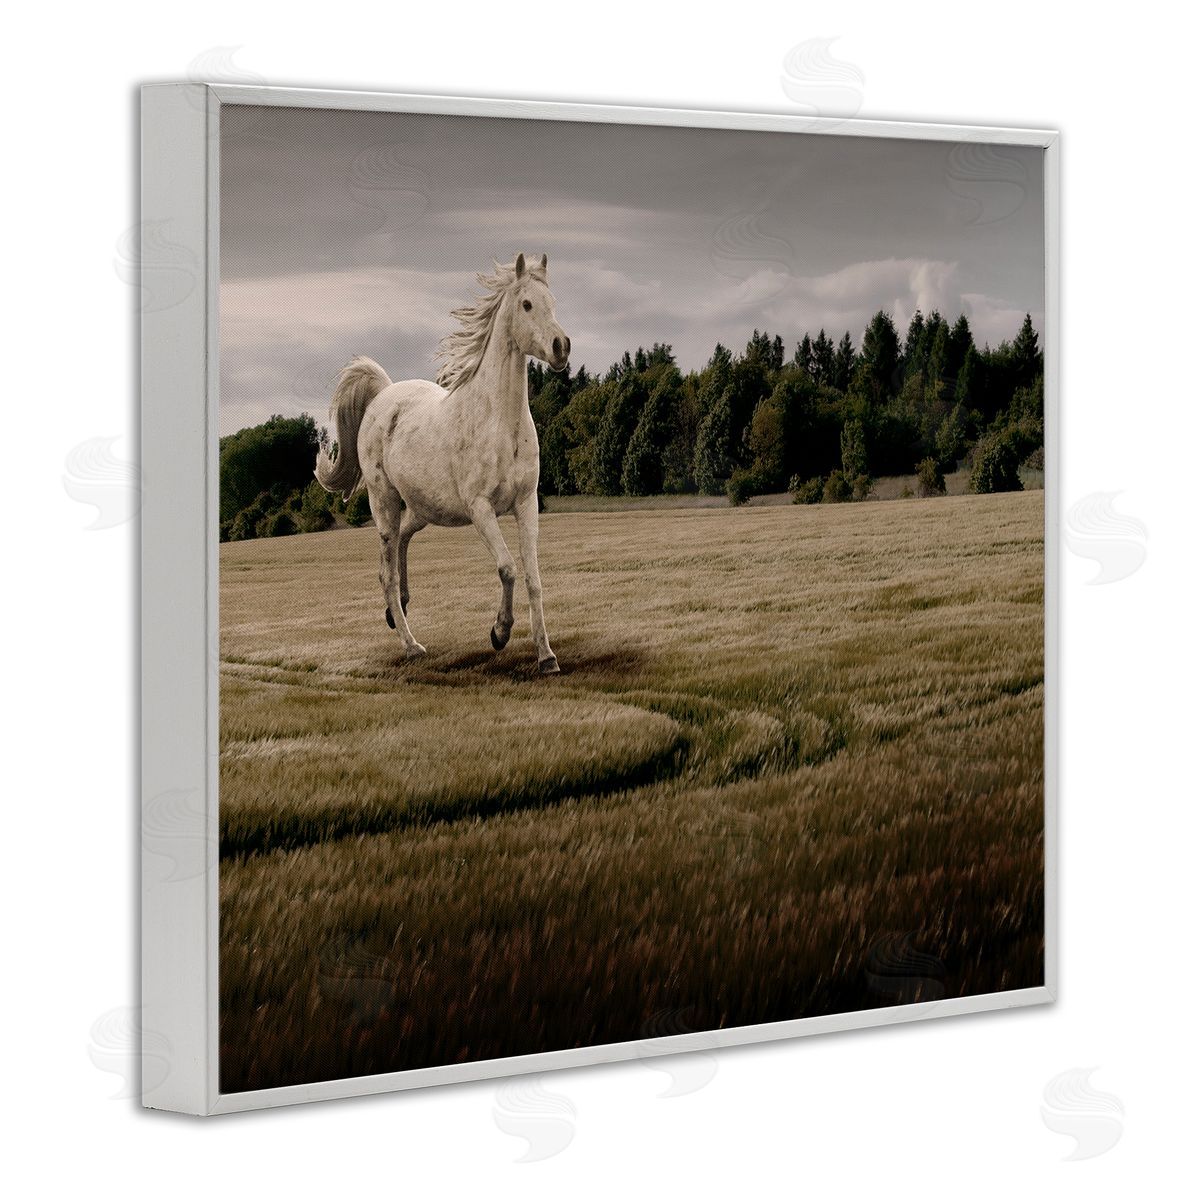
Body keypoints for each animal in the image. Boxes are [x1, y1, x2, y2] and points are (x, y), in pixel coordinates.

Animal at [314, 252, 571, 674]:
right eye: (526, 304)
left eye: (553, 302)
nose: (561, 347)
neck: (499, 422)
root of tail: (383, 396)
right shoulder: (481, 508)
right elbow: (507, 568)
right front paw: (499, 633)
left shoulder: (526, 502)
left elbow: (533, 577)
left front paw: (546, 657)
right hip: (385, 505)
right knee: (385, 570)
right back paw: (411, 644)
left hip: (423, 509)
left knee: (402, 543)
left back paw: (398, 608)